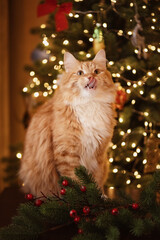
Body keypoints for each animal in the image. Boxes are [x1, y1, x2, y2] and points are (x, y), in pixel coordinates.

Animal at [19, 49, 116, 197]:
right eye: (80, 73)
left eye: (96, 71)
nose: (90, 77)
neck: (89, 104)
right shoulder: (67, 154)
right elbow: (75, 181)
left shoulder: (98, 154)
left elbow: (97, 180)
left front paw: (100, 197)